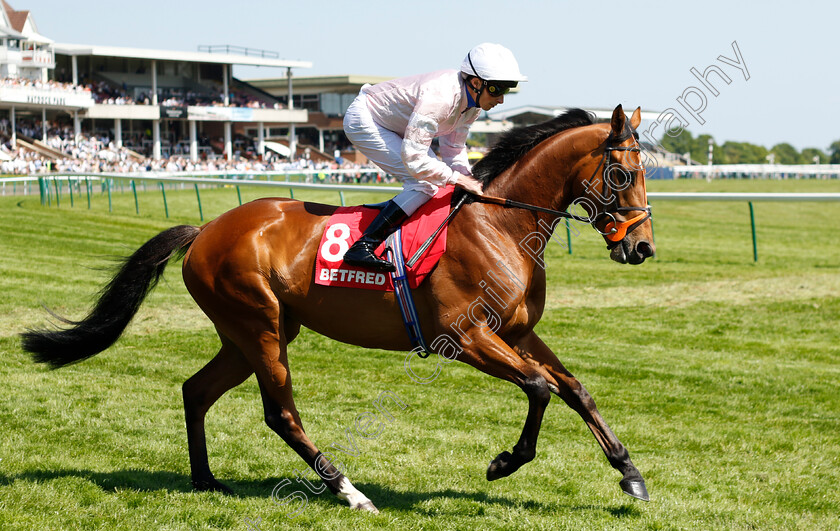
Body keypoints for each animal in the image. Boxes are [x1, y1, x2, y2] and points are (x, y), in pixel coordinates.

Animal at [21, 105, 656, 516]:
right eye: (623, 173)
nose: (642, 247)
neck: (500, 225)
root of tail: (205, 229)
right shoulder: (466, 336)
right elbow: (539, 388)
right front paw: (504, 462)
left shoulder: (519, 332)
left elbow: (574, 389)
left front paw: (630, 473)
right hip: (260, 328)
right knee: (281, 414)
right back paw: (349, 491)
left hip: (246, 334)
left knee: (195, 391)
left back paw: (205, 480)